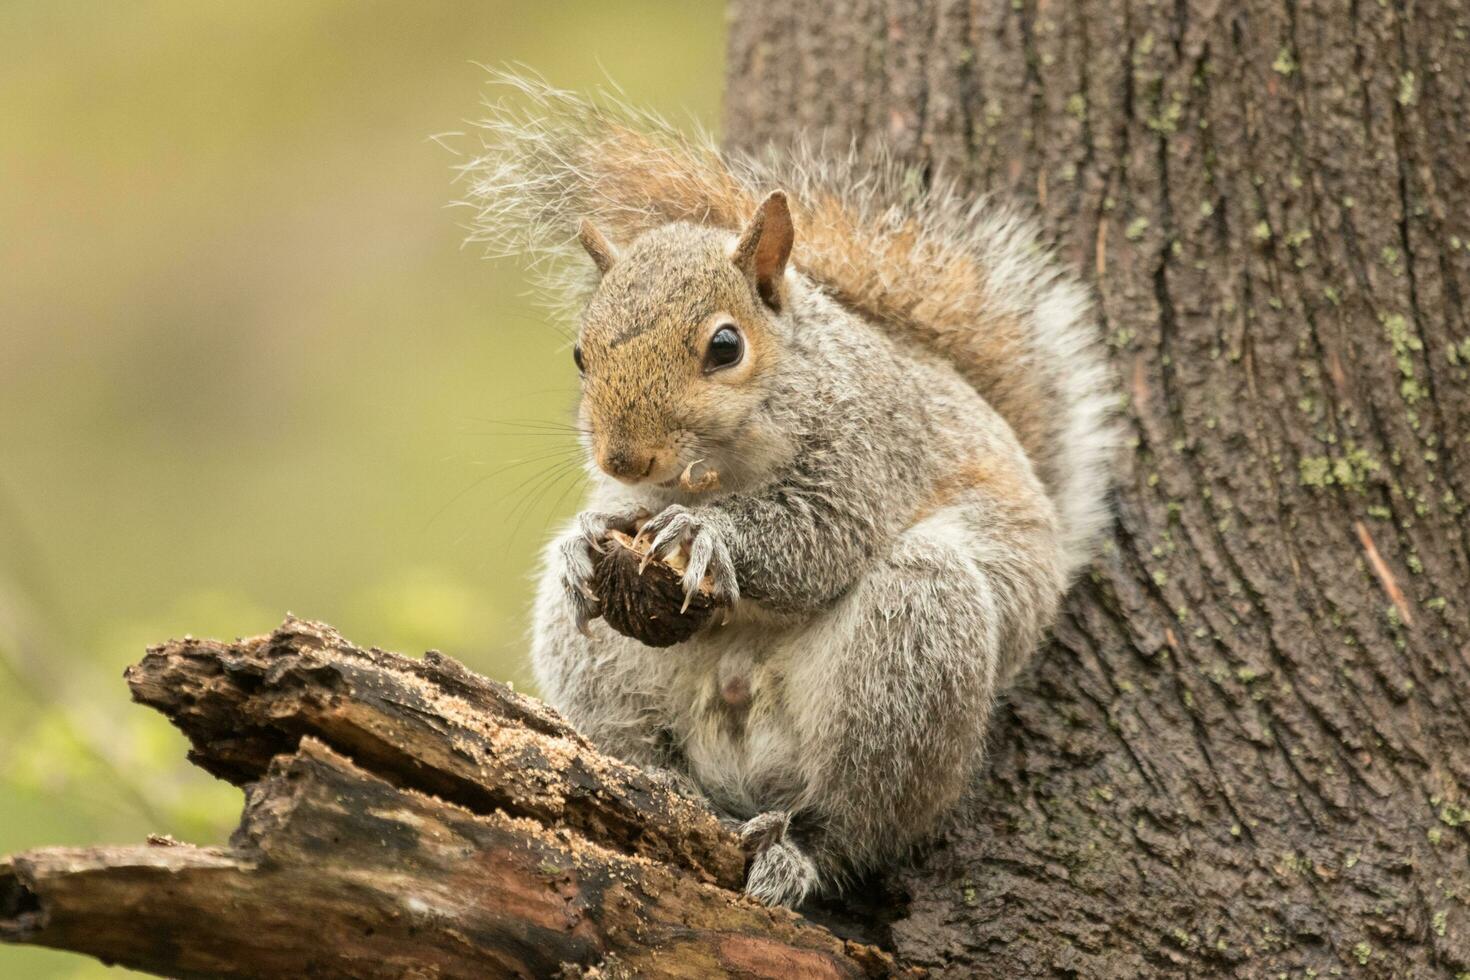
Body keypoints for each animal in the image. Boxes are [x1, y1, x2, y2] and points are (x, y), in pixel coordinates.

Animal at [458, 72, 1111, 910]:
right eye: (578, 354)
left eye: (724, 346)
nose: (625, 457)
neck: (722, 470)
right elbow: (620, 517)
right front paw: (583, 540)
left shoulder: (870, 453)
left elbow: (820, 536)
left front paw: (705, 535)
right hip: (606, 667)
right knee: (646, 747)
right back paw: (656, 783)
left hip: (911, 653)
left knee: (856, 818)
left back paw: (798, 852)